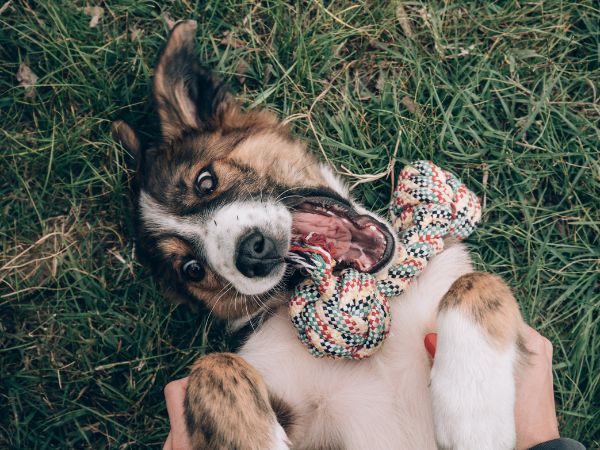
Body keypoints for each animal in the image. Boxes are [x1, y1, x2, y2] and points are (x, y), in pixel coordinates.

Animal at [115, 21, 528, 450]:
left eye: (205, 181)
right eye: (192, 269)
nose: (253, 253)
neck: (378, 291)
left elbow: (477, 282)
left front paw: (474, 412)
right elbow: (212, 366)